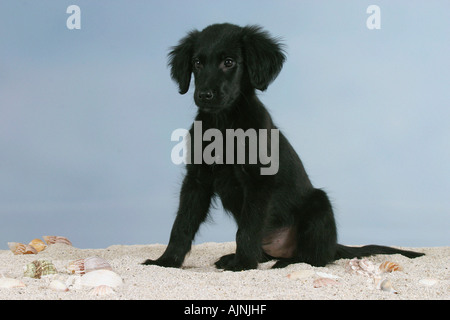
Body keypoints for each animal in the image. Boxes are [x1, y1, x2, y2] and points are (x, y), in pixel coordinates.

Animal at [142, 23, 424, 272]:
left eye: (229, 62)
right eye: (197, 63)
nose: (204, 95)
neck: (224, 124)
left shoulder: (259, 181)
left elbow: (247, 228)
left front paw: (242, 265)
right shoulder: (196, 180)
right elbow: (181, 225)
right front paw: (166, 261)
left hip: (320, 204)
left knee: (316, 258)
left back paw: (285, 262)